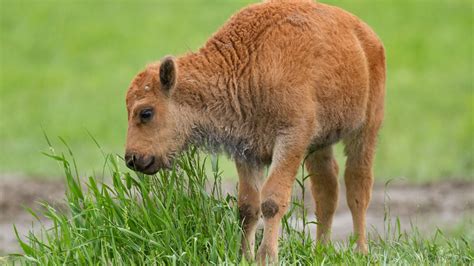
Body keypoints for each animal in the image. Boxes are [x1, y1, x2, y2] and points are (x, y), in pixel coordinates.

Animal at [125, 0, 386, 262]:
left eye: (146, 112)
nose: (132, 159)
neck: (248, 65)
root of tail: (367, 36)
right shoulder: (247, 150)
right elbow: (248, 206)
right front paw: (244, 256)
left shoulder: (291, 138)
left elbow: (271, 201)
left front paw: (266, 257)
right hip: (320, 143)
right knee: (326, 190)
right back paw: (319, 252)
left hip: (366, 128)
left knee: (357, 185)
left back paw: (360, 251)